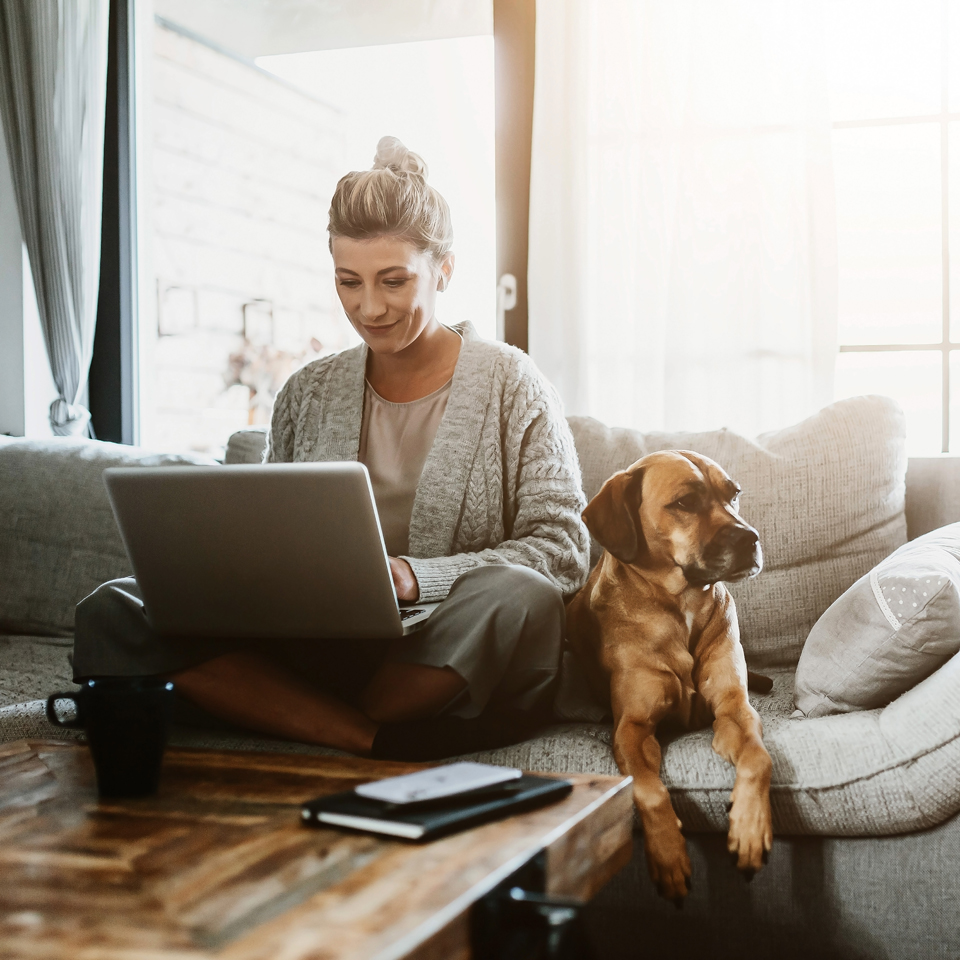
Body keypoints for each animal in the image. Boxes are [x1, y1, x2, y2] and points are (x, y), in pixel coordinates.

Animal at [568, 450, 776, 900]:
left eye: (733, 494)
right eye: (685, 502)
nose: (751, 539)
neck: (683, 605)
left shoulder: (735, 708)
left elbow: (759, 757)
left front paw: (749, 827)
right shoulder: (632, 729)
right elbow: (648, 789)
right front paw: (667, 854)